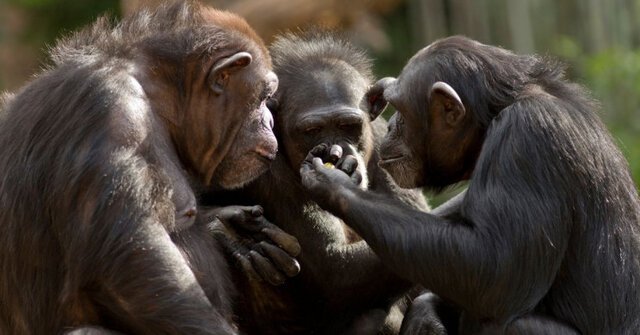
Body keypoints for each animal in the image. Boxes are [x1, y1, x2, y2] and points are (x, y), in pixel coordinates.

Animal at [0, 3, 300, 335]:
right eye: (264, 97)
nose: (269, 121)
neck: (156, 96)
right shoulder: (112, 112)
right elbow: (134, 261)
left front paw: (233, 231)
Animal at [205, 30, 430, 334]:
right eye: (312, 130)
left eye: (348, 126)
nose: (336, 152)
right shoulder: (265, 170)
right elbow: (333, 267)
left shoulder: (387, 142)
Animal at [298, 35, 640, 334]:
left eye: (402, 110)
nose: (391, 125)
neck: (495, 116)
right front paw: (425, 314)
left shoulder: (528, 138)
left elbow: (495, 268)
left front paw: (335, 183)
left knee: (512, 321)